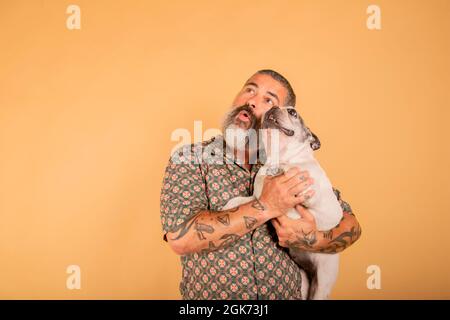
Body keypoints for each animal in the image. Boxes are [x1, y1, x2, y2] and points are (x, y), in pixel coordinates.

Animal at [222, 105, 344, 300]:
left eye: (293, 112)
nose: (273, 107)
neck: (279, 159)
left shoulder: (329, 210)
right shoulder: (258, 199)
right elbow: (241, 200)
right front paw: (228, 206)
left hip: (322, 284)